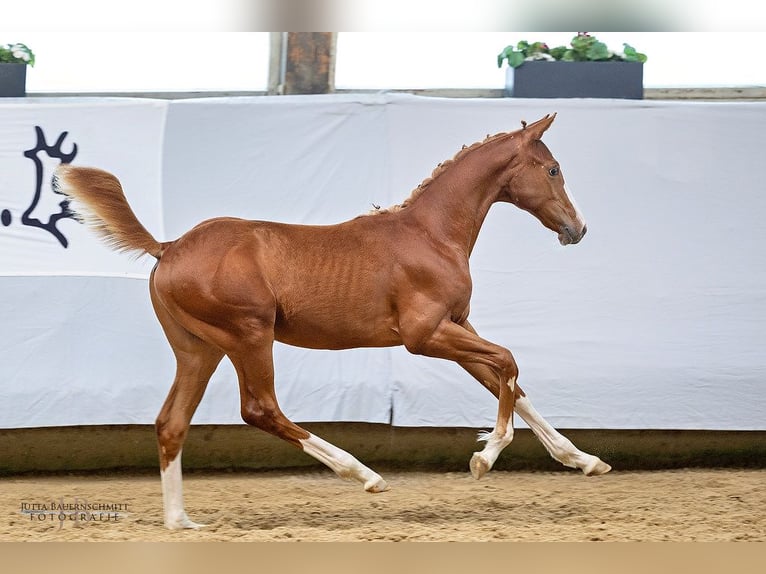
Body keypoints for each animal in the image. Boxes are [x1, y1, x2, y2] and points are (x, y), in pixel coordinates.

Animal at [52, 115, 612, 532]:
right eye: (553, 169)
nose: (579, 228)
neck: (430, 234)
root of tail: (168, 248)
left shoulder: (459, 327)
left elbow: (510, 382)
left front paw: (584, 460)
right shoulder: (425, 336)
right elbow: (508, 364)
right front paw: (484, 458)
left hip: (198, 350)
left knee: (172, 422)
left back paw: (179, 521)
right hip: (249, 336)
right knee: (260, 409)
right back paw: (363, 474)